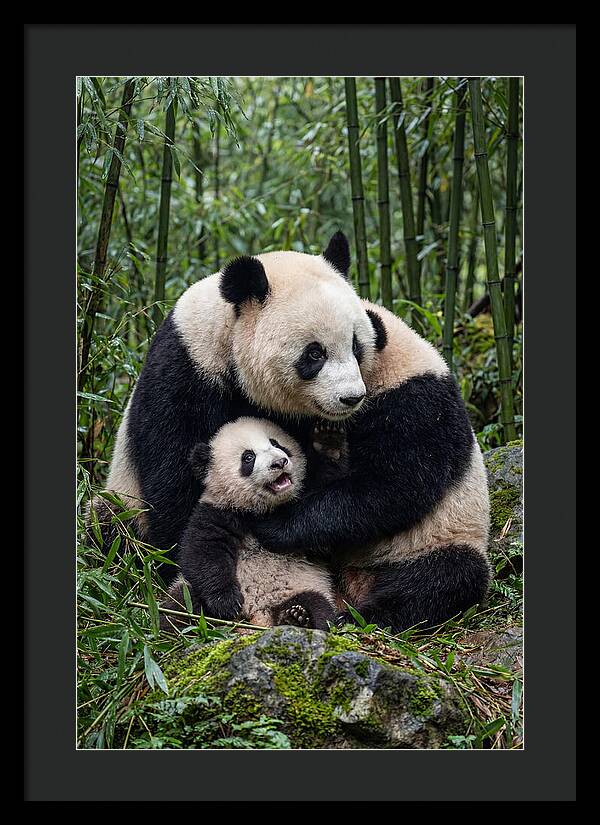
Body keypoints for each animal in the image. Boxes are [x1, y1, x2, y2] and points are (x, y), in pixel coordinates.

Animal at [160, 417, 337, 631]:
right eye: (248, 457)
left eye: (277, 444)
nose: (279, 462)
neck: (259, 509)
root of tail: (257, 615)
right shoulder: (217, 512)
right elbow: (203, 552)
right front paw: (227, 602)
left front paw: (328, 442)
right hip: (187, 591)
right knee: (179, 606)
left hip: (303, 586)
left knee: (318, 606)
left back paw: (297, 618)